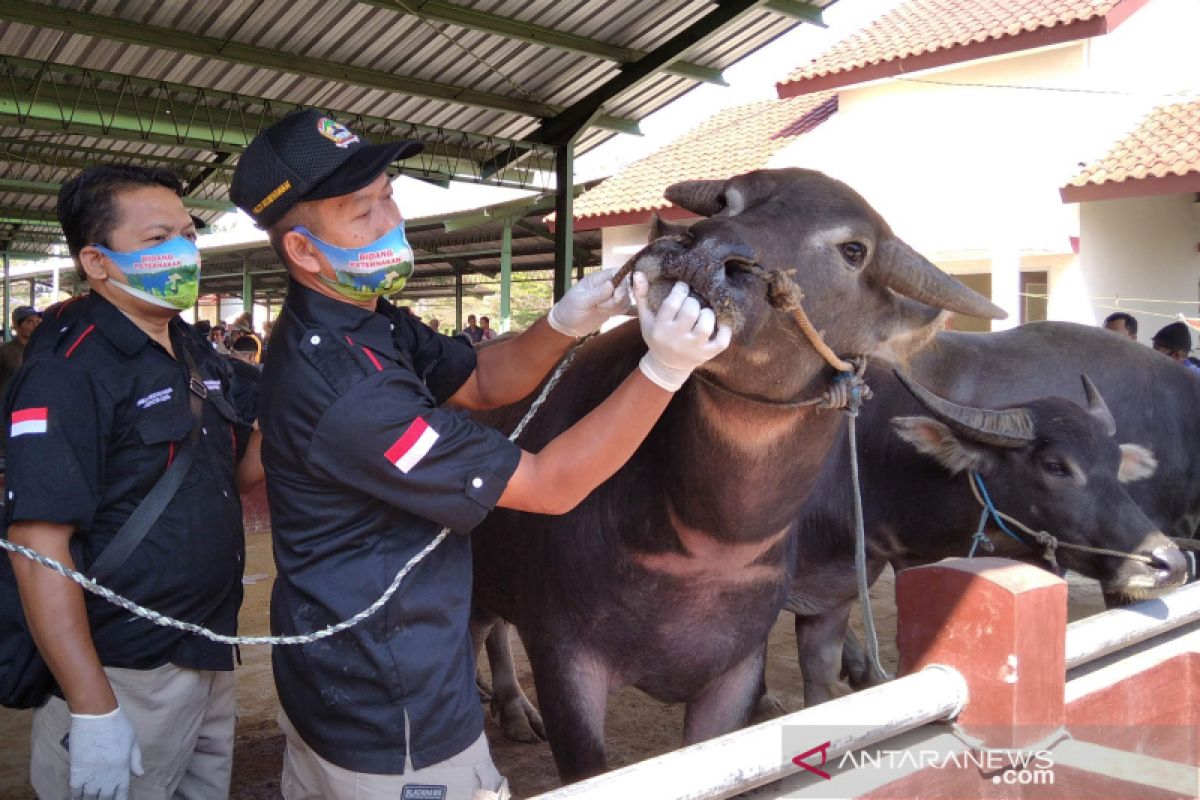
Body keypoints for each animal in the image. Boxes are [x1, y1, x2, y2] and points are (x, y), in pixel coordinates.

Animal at [468, 169, 1003, 782]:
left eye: (853, 251)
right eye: (727, 201)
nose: (701, 253)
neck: (709, 543)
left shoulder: (737, 670)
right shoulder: (564, 659)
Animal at [787, 321, 1190, 705]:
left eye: (1115, 462)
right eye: (1055, 466)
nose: (1169, 563)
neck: (861, 465)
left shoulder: (831, 599)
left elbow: (819, 686)